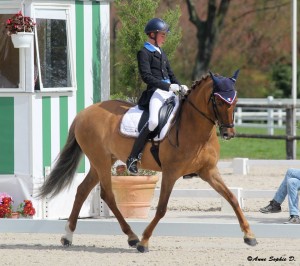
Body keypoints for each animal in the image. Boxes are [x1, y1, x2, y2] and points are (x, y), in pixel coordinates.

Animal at [37, 70, 258, 254]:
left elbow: (232, 198)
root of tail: (83, 113)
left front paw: (249, 236)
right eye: (219, 101)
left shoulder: (209, 171)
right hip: (101, 161)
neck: (194, 128)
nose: (229, 133)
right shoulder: (170, 173)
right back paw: (133, 237)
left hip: (102, 161)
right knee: (108, 195)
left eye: (235, 100)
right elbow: (161, 209)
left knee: (82, 190)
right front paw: (144, 242)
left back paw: (68, 236)